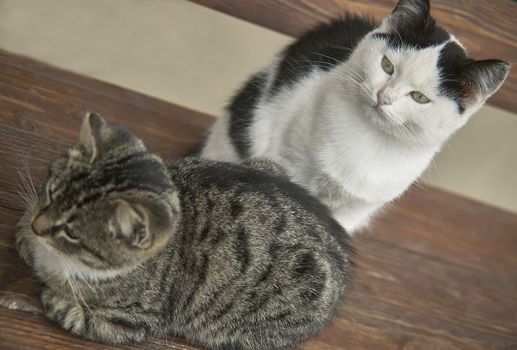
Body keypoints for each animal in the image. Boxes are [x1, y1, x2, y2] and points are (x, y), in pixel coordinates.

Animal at [18, 113, 352, 348]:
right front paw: (25, 232)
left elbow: (73, 314)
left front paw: (53, 296)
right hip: (266, 164)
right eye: (49, 193)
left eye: (72, 233)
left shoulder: (134, 320)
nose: (38, 227)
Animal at [200, 0, 510, 232]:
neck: (369, 136)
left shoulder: (356, 208)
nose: (383, 96)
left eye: (420, 97)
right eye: (387, 65)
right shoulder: (287, 161)